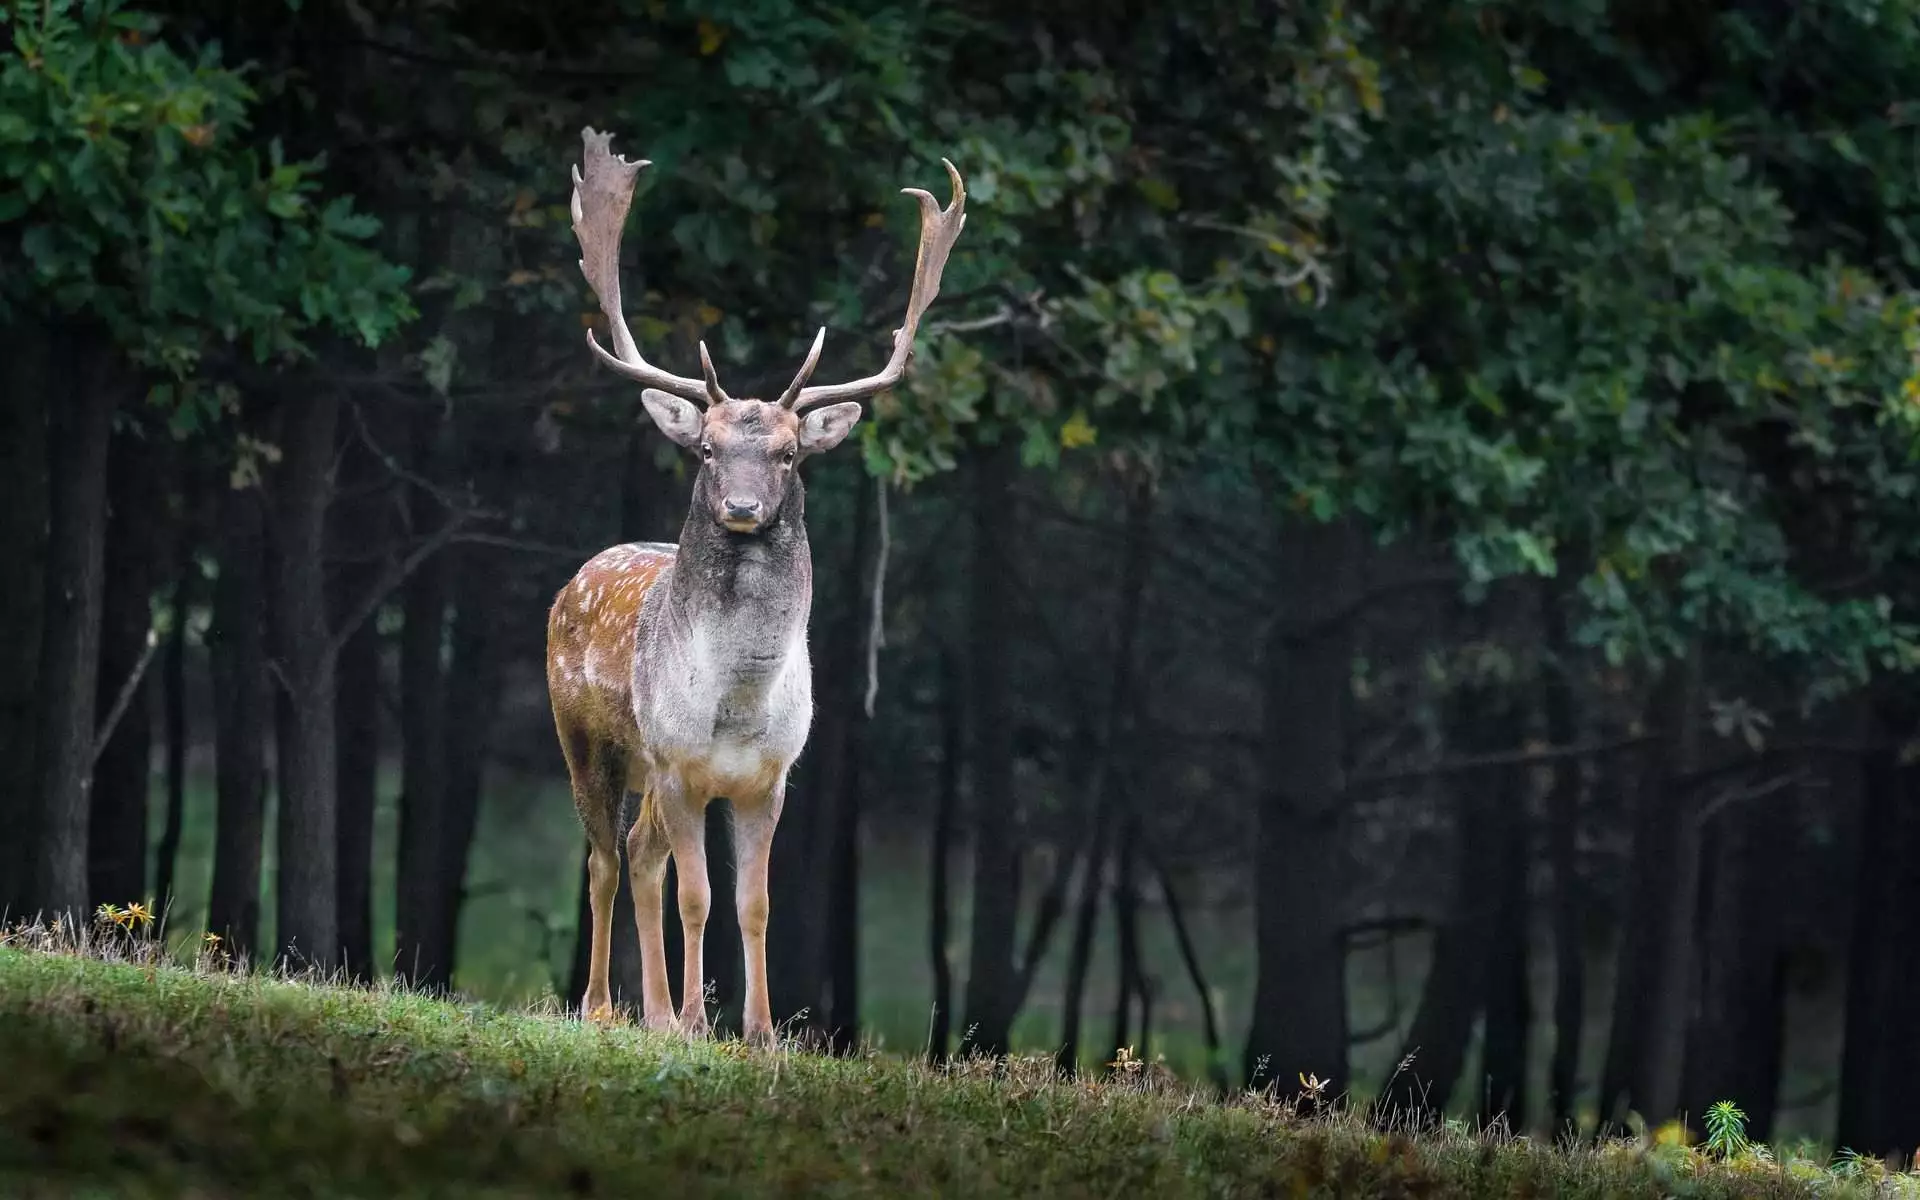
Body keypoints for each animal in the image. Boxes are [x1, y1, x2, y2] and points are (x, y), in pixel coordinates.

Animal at [545, 127, 966, 1044]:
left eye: (788, 453)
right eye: (706, 448)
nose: (741, 507)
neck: (736, 704)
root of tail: (576, 578)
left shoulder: (771, 778)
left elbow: (755, 903)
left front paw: (761, 1030)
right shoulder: (678, 764)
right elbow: (698, 898)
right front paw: (699, 1021)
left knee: (638, 857)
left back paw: (653, 1013)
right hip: (587, 740)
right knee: (603, 859)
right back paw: (604, 1006)